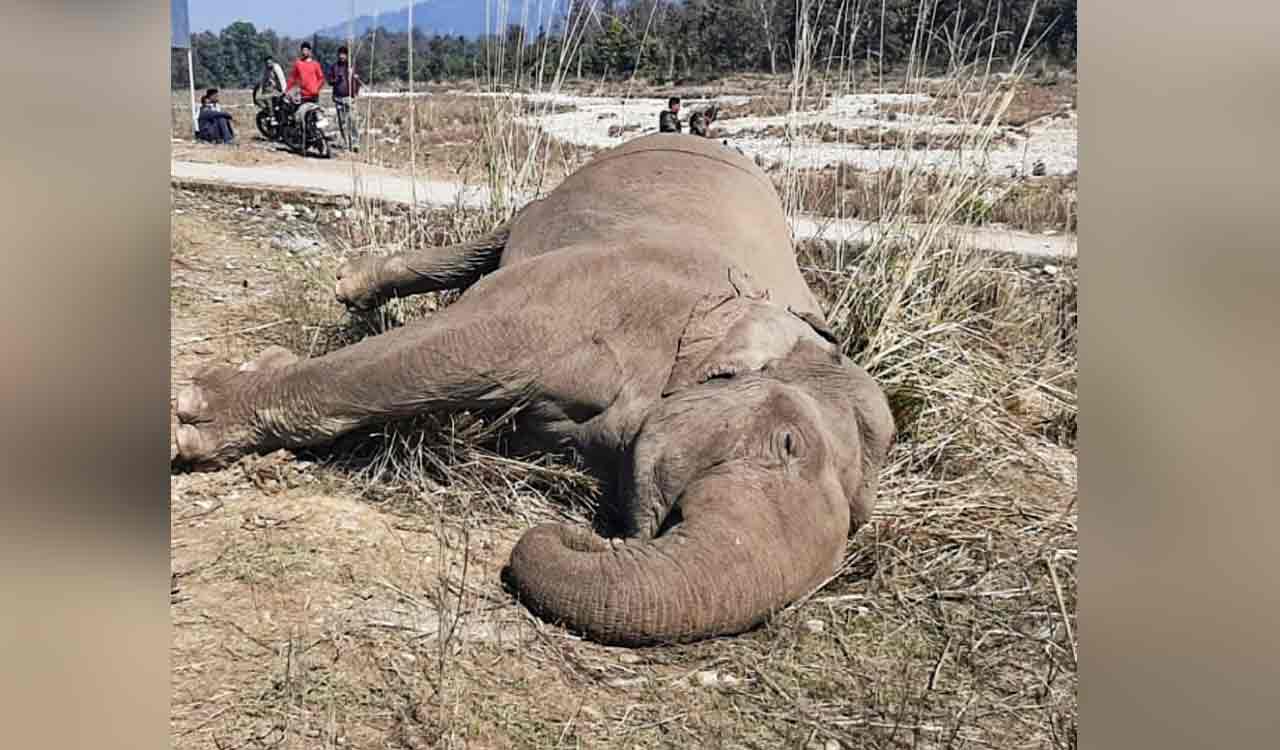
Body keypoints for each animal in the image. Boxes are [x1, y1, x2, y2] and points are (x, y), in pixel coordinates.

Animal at [173, 133, 895, 646]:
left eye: (856, 526)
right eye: (788, 442)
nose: (576, 532)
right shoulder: (604, 290)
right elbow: (458, 346)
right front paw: (196, 415)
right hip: (575, 183)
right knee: (489, 244)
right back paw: (352, 286)